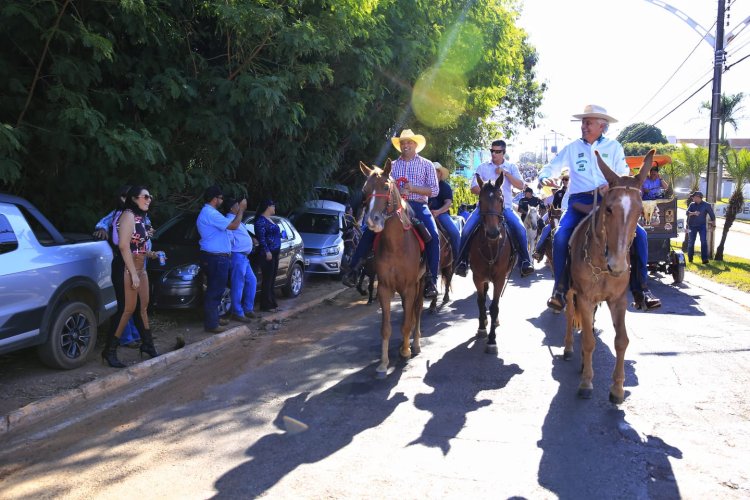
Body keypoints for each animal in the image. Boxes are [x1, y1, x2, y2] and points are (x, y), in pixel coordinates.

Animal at [362, 159, 426, 376]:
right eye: (365, 190)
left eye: (385, 187)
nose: (372, 220)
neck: (396, 245)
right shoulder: (384, 288)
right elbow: (386, 328)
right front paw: (383, 362)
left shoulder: (409, 287)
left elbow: (406, 324)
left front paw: (406, 350)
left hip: (422, 282)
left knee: (417, 311)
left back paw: (415, 344)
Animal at [470, 174, 516, 354]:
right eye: (480, 200)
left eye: (501, 199)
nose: (493, 233)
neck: (491, 246)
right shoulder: (477, 277)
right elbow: (481, 301)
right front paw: (482, 327)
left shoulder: (500, 278)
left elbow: (494, 306)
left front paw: (491, 340)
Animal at [568, 150, 656, 404]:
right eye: (608, 208)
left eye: (639, 211)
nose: (617, 265)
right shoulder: (584, 298)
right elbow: (588, 341)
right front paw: (586, 383)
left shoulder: (618, 301)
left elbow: (621, 340)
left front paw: (617, 388)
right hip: (568, 291)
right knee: (569, 316)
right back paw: (568, 349)